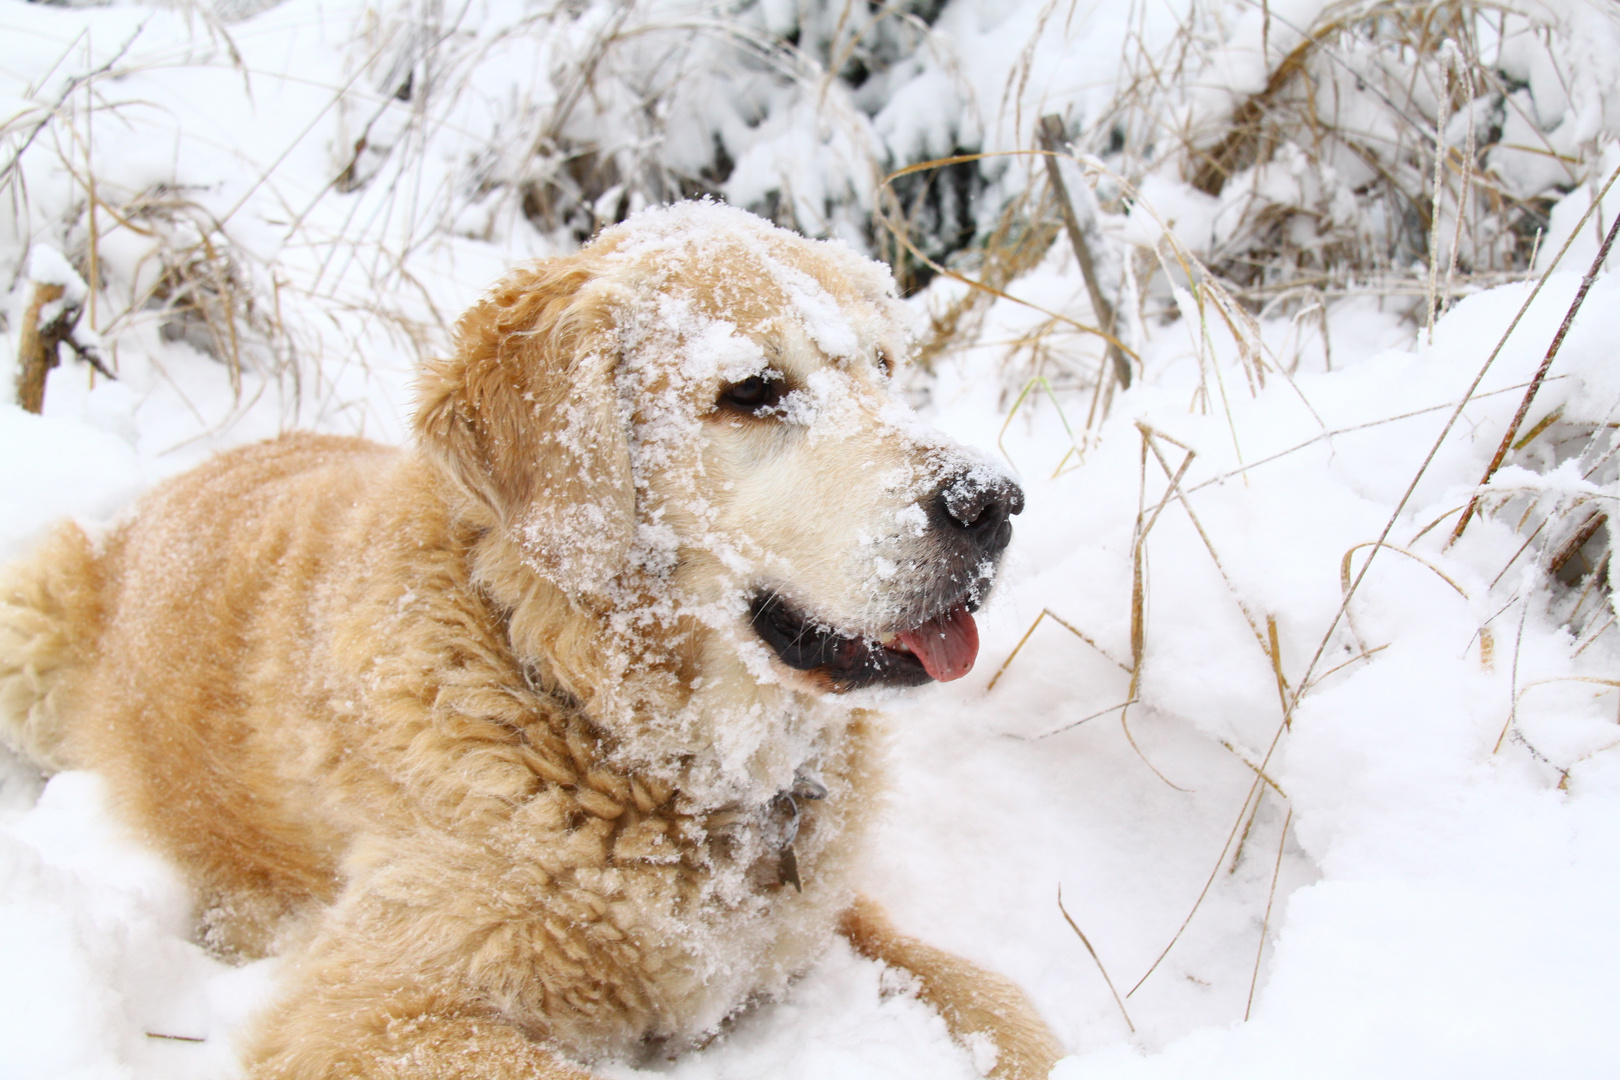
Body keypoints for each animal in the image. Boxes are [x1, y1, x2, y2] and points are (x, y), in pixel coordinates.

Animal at [0, 204, 1056, 1080]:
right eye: (753, 390)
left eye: (885, 370)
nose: (992, 503)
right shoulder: (369, 1012)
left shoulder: (831, 924)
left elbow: (1003, 1008)